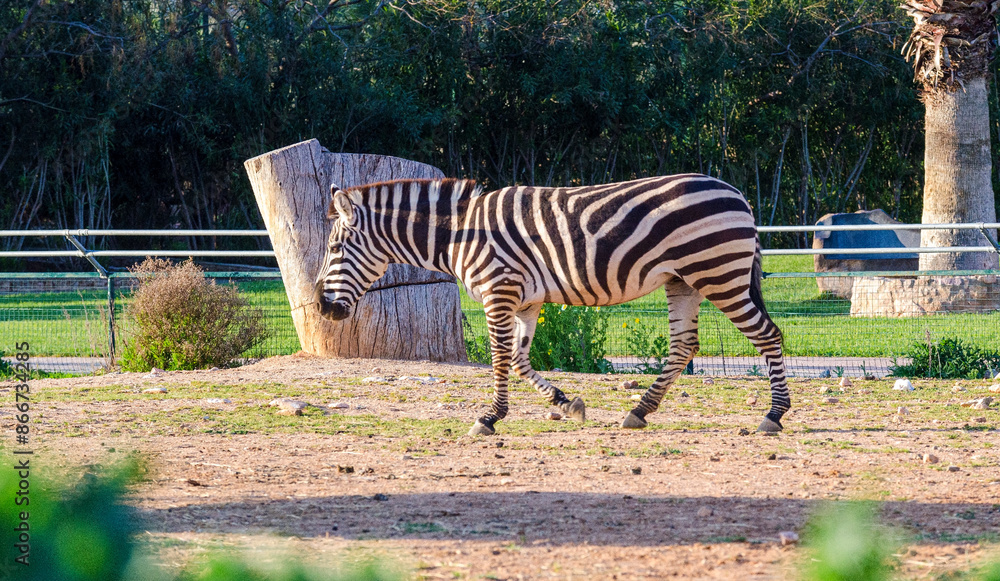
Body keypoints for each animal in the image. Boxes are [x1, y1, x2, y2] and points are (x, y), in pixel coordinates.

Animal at [314, 177, 788, 436]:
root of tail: (738, 194)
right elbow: (520, 360)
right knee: (684, 346)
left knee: (768, 335)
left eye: (335, 248)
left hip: (718, 274)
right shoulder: (526, 300)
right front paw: (565, 403)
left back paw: (774, 415)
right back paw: (638, 411)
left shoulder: (499, 291)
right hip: (683, 281)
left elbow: (500, 358)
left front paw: (489, 417)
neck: (459, 233)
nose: (321, 307)